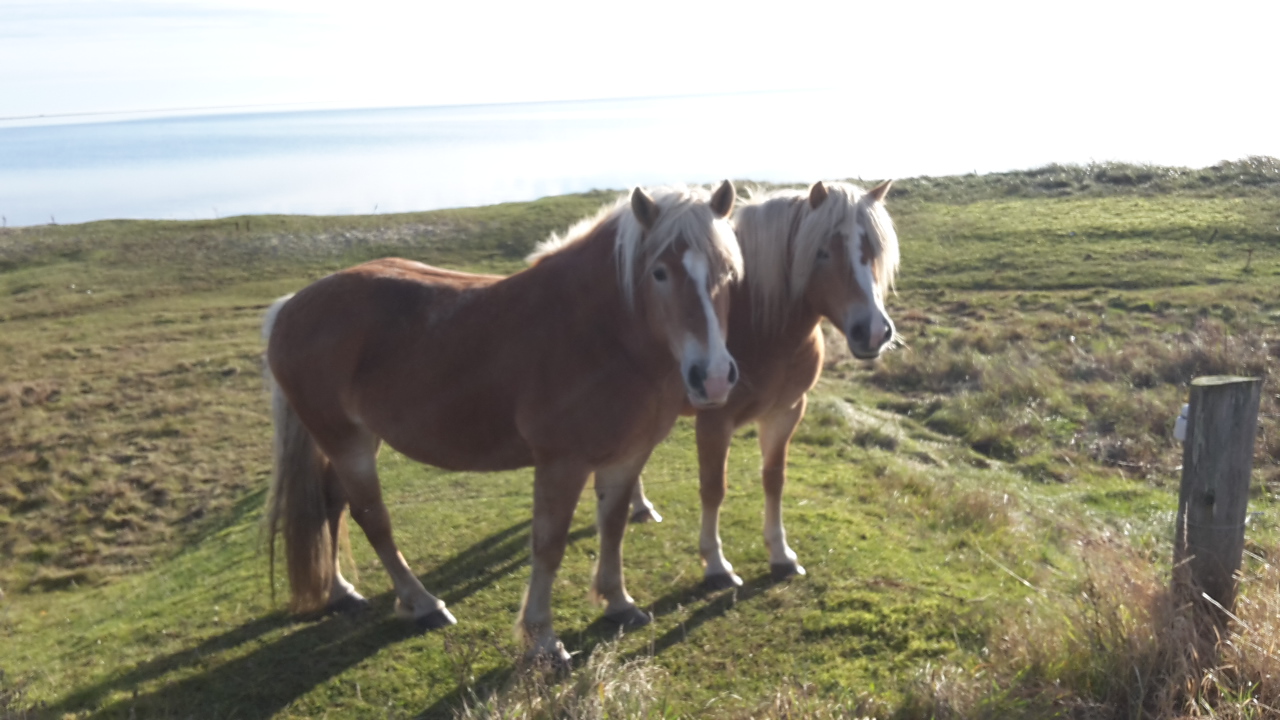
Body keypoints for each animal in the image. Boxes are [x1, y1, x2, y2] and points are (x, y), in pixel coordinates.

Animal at [261, 180, 742, 661]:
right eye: (659, 273)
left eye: (728, 273)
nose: (714, 377)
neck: (598, 332)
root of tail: (290, 306)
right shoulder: (561, 464)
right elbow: (548, 546)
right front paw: (543, 639)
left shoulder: (626, 457)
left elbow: (613, 526)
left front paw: (618, 603)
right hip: (346, 442)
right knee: (371, 517)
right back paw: (423, 604)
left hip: (358, 438)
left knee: (330, 504)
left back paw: (340, 591)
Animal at [624, 179, 896, 589]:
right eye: (821, 252)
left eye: (872, 250)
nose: (874, 331)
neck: (758, 323)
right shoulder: (714, 422)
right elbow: (713, 488)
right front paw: (716, 564)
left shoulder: (786, 413)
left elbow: (774, 479)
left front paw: (781, 555)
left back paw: (640, 507)